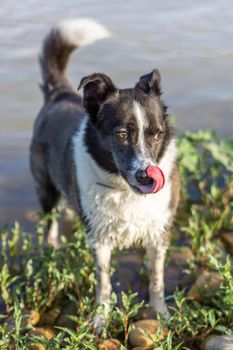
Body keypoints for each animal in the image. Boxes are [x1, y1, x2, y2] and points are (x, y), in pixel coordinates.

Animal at [30, 18, 180, 330]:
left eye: (156, 134)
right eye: (122, 134)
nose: (148, 177)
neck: (123, 189)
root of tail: (58, 93)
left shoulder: (158, 232)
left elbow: (157, 280)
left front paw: (162, 315)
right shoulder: (99, 240)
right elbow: (104, 283)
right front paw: (100, 319)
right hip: (45, 188)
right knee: (50, 223)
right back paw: (53, 247)